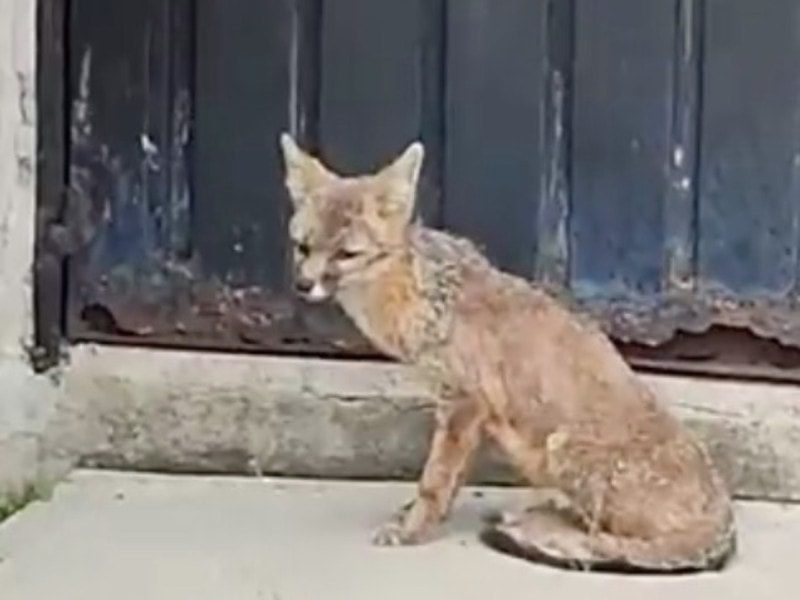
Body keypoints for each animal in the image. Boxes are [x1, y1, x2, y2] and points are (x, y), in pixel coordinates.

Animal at [278, 133, 736, 573]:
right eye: (302, 247)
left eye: (346, 254)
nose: (302, 285)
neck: (422, 296)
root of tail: (723, 519)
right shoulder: (469, 414)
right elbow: (450, 482)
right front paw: (420, 516)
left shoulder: (463, 403)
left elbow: (434, 480)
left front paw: (412, 529)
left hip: (562, 448)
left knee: (603, 537)